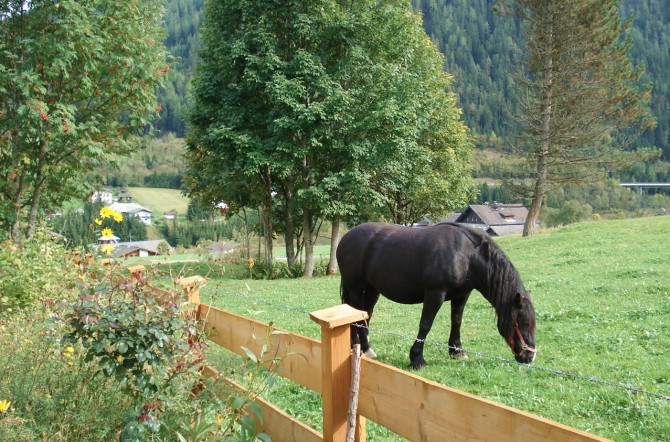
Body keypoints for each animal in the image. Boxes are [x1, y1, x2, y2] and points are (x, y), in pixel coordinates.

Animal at [338, 221, 540, 370]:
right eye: (522, 322)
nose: (530, 356)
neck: (467, 256)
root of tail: (346, 238)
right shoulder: (435, 294)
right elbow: (426, 324)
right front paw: (417, 358)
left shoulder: (462, 295)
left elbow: (456, 321)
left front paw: (457, 351)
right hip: (356, 287)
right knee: (359, 317)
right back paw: (367, 350)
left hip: (372, 289)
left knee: (364, 315)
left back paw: (358, 347)